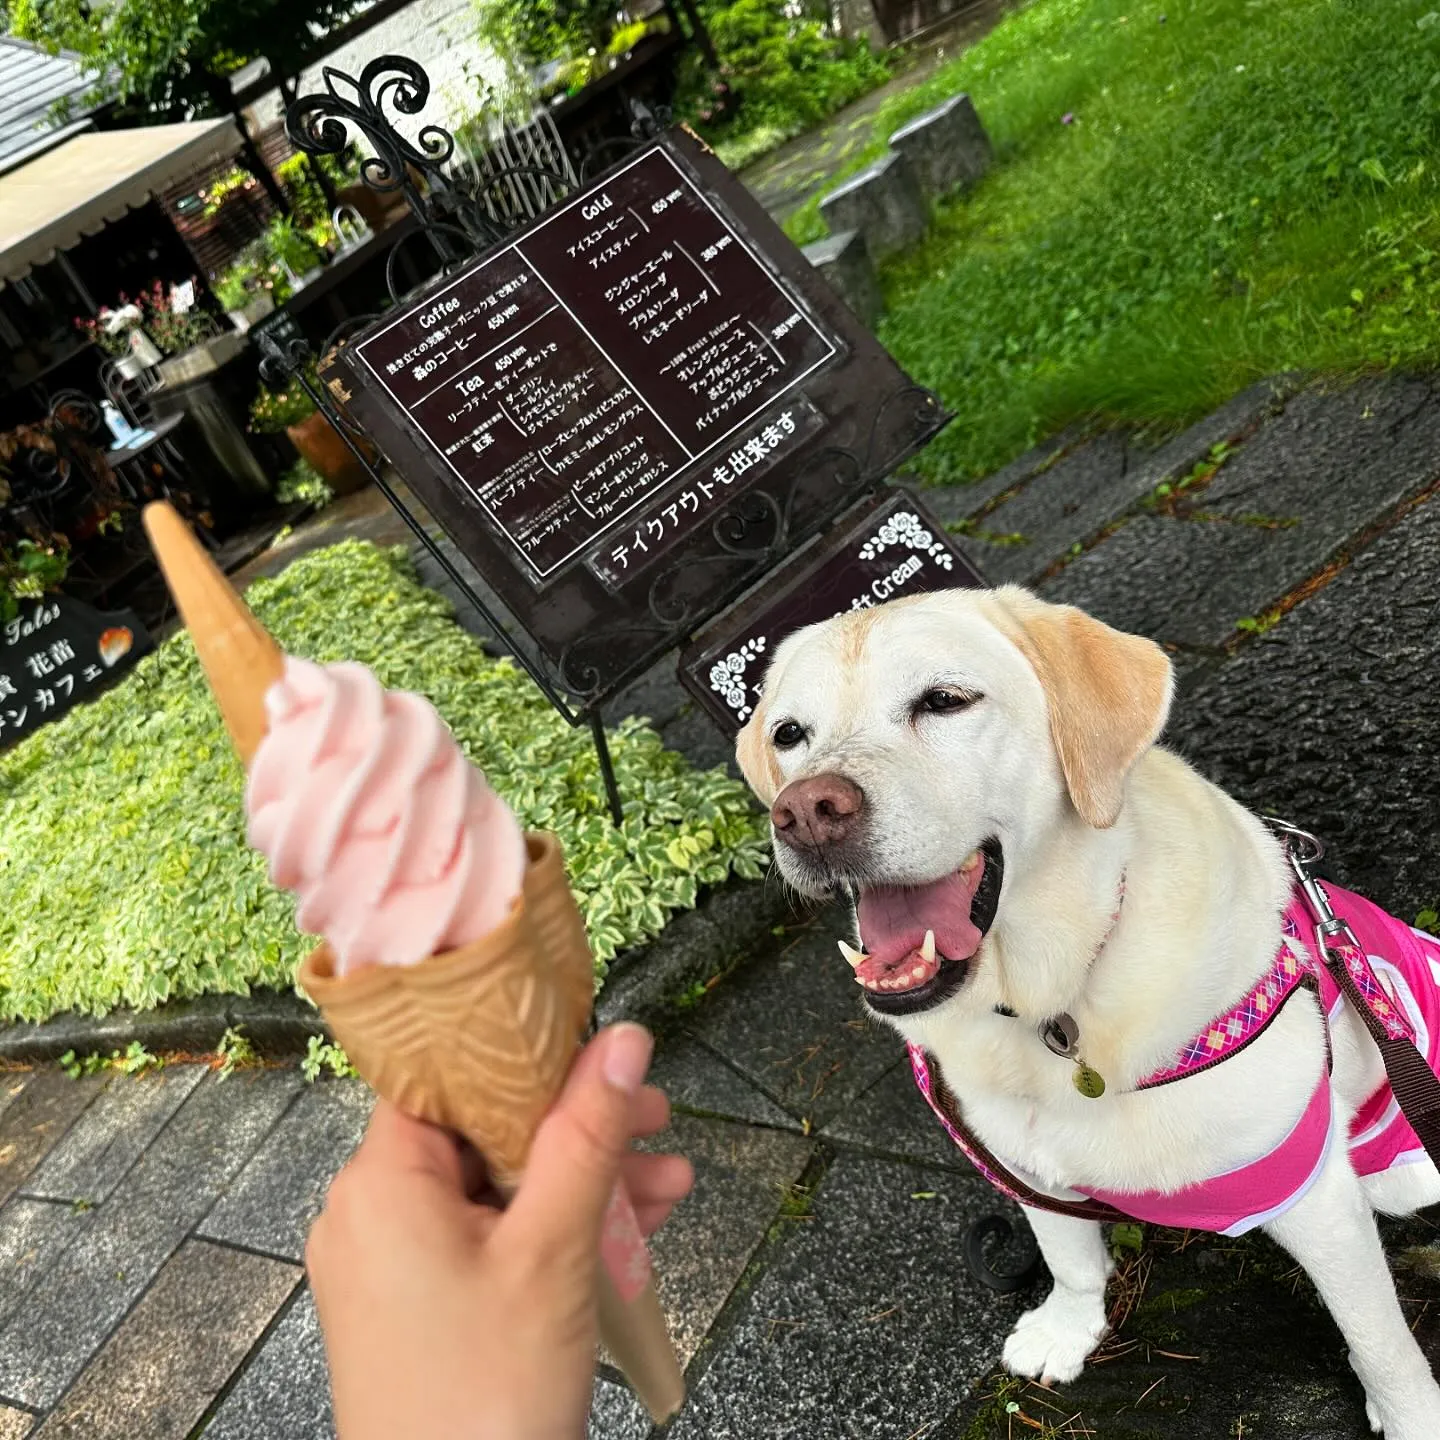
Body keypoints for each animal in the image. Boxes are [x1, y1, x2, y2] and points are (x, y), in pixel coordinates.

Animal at [743, 587, 1440, 1440]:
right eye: (789, 734)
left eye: (944, 700)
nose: (805, 812)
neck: (1051, 1001)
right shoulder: (1023, 1161)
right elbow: (1069, 1257)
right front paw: (1066, 1331)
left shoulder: (1309, 1189)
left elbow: (1376, 1336)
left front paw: (1411, 1415)